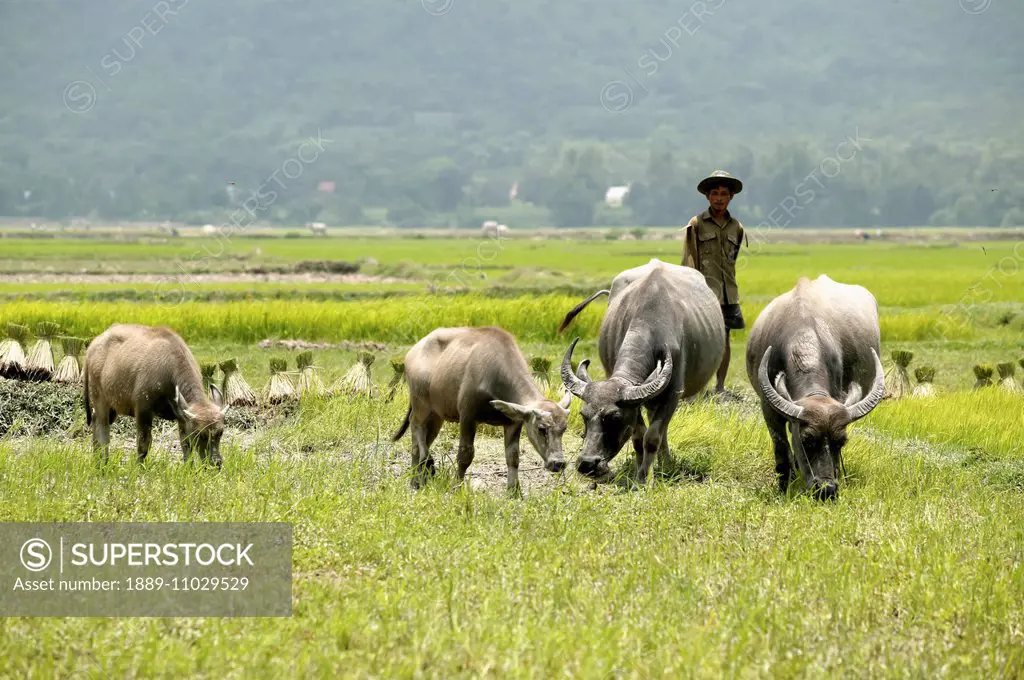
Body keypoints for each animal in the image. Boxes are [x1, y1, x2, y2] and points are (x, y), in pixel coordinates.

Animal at [83, 323, 228, 466]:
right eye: (199, 433)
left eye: (220, 432)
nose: (216, 462)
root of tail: (92, 346)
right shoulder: (143, 410)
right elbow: (143, 444)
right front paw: (139, 467)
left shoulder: (182, 417)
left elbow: (186, 445)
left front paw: (189, 467)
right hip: (99, 397)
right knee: (102, 427)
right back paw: (103, 461)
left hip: (113, 407)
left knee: (95, 419)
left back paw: (97, 458)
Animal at [391, 323, 573, 489]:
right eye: (541, 429)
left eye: (563, 429)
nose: (558, 463)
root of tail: (413, 351)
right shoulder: (467, 417)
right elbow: (465, 455)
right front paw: (457, 486)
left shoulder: (514, 423)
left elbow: (513, 457)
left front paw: (514, 491)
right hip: (420, 403)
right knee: (416, 428)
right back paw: (423, 469)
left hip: (436, 414)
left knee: (425, 438)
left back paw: (418, 479)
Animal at [557, 256, 724, 483]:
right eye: (583, 415)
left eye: (614, 418)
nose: (587, 464)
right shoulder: (635, 404)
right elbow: (638, 437)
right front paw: (639, 473)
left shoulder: (672, 395)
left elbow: (652, 437)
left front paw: (644, 478)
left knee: (661, 430)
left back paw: (666, 464)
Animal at [745, 274, 888, 501]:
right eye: (807, 440)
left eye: (841, 442)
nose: (826, 490)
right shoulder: (768, 409)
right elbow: (782, 453)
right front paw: (783, 488)